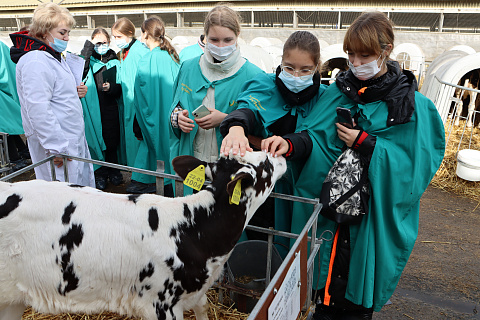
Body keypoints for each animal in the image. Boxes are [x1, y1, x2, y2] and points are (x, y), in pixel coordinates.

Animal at [0, 152, 284, 320]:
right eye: (265, 165)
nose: (279, 153)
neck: (192, 229)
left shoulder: (197, 294)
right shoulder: (161, 304)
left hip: (12, 298)